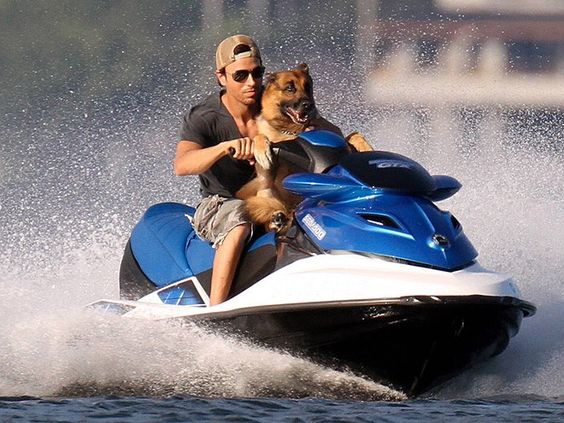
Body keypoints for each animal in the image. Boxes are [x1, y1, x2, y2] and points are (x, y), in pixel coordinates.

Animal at [236, 64, 372, 234]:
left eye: (308, 87)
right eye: (290, 88)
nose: (309, 105)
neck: (293, 130)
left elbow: (355, 136)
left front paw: (367, 151)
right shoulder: (267, 173)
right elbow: (260, 138)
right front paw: (262, 151)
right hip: (264, 190)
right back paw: (277, 220)